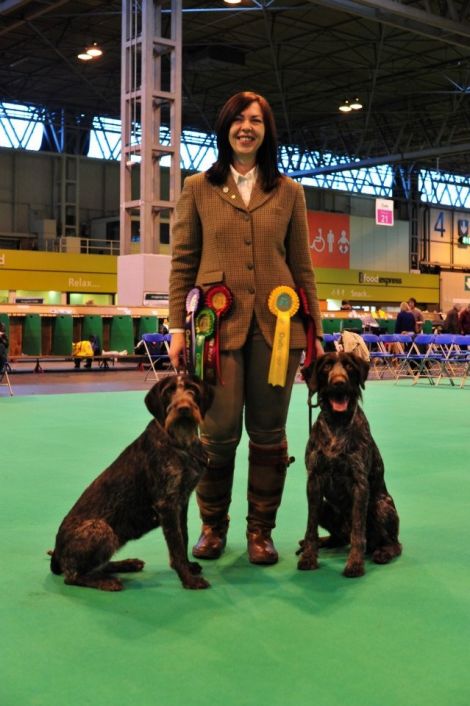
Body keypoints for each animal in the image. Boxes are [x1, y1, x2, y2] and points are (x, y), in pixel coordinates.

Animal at [49, 372, 213, 592]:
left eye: (192, 390)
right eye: (169, 391)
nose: (184, 409)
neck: (181, 443)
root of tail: (57, 554)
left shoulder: (182, 501)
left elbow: (183, 536)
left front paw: (187, 567)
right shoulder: (167, 504)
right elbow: (177, 546)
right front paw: (188, 579)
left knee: (99, 565)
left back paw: (127, 564)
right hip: (101, 529)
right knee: (73, 576)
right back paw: (106, 581)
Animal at [298, 352, 400, 576]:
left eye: (349, 367)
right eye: (327, 366)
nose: (339, 383)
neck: (337, 423)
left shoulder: (359, 482)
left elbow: (358, 532)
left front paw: (355, 563)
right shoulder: (314, 481)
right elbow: (310, 527)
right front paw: (308, 556)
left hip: (380, 506)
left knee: (392, 543)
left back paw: (383, 552)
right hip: (325, 507)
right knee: (339, 537)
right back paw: (322, 542)